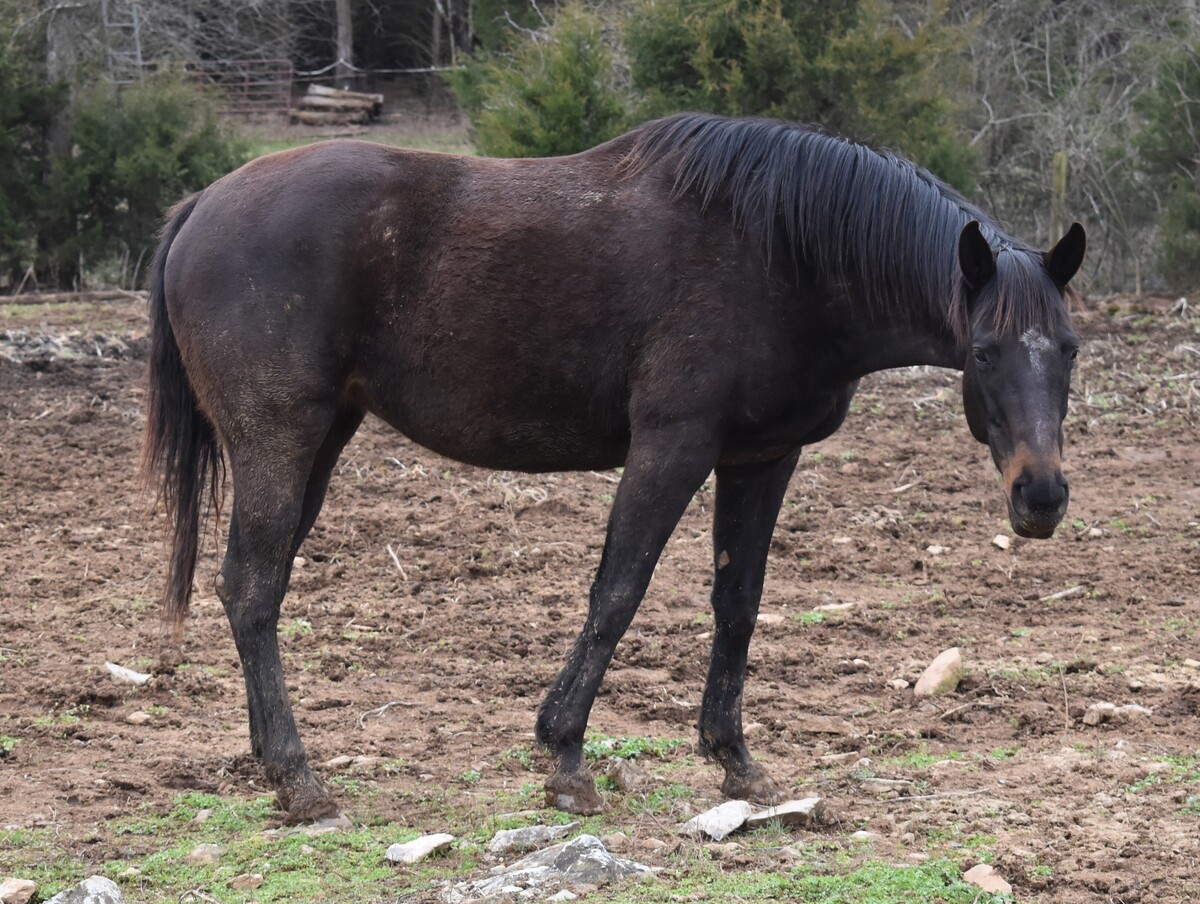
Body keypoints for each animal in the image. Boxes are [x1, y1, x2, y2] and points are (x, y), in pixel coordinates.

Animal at [143, 113, 1085, 823]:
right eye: (986, 351)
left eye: (1071, 348)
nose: (1040, 497)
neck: (786, 256)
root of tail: (199, 206)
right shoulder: (672, 447)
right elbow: (617, 594)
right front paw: (565, 757)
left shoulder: (762, 459)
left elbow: (738, 604)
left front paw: (735, 759)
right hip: (279, 440)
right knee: (256, 587)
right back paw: (301, 780)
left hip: (322, 443)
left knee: (248, 589)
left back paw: (275, 766)